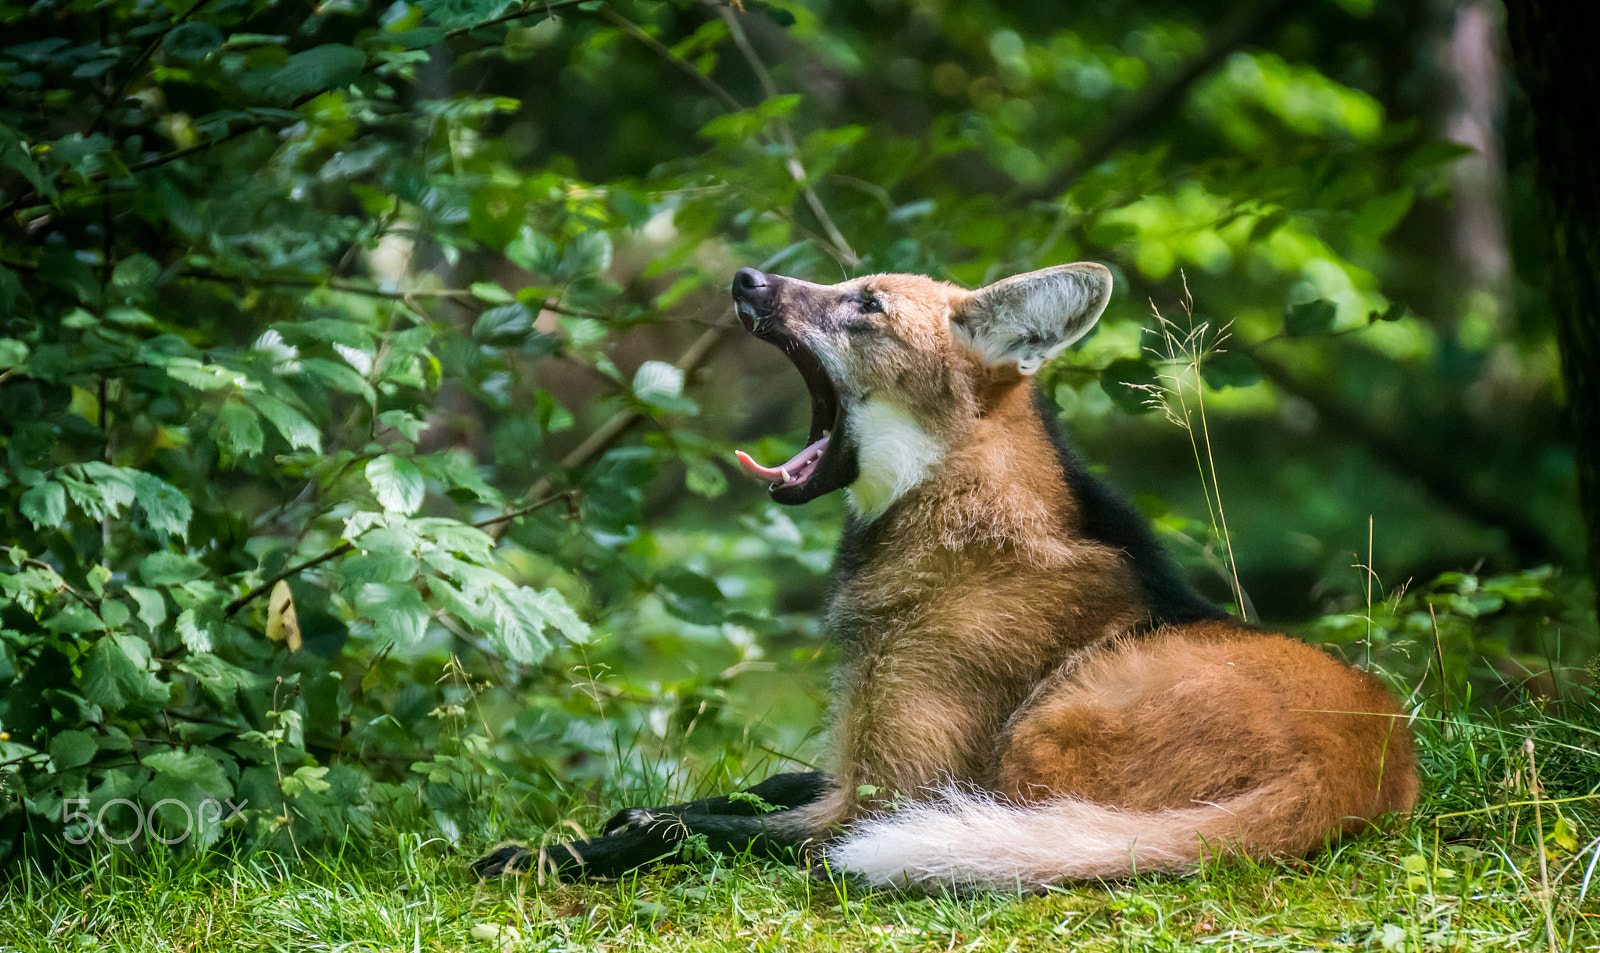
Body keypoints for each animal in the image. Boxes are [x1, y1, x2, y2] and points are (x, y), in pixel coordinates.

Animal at [470, 262, 1414, 895]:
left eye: (866, 304)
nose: (747, 277)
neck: (953, 520)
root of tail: (1364, 761)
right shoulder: (863, 764)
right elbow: (767, 783)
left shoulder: (893, 793)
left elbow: (701, 829)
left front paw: (551, 851)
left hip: (1043, 738)